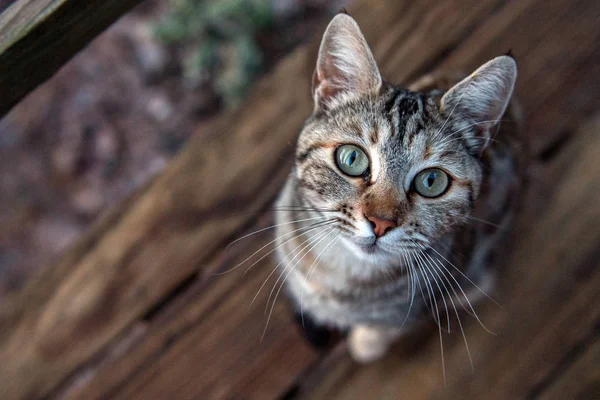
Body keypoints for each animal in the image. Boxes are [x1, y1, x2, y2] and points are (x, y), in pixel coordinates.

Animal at [274, 11, 524, 362]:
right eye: (352, 158)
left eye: (432, 181)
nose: (380, 223)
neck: (342, 275)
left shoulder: (410, 310)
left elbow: (378, 335)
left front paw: (364, 343)